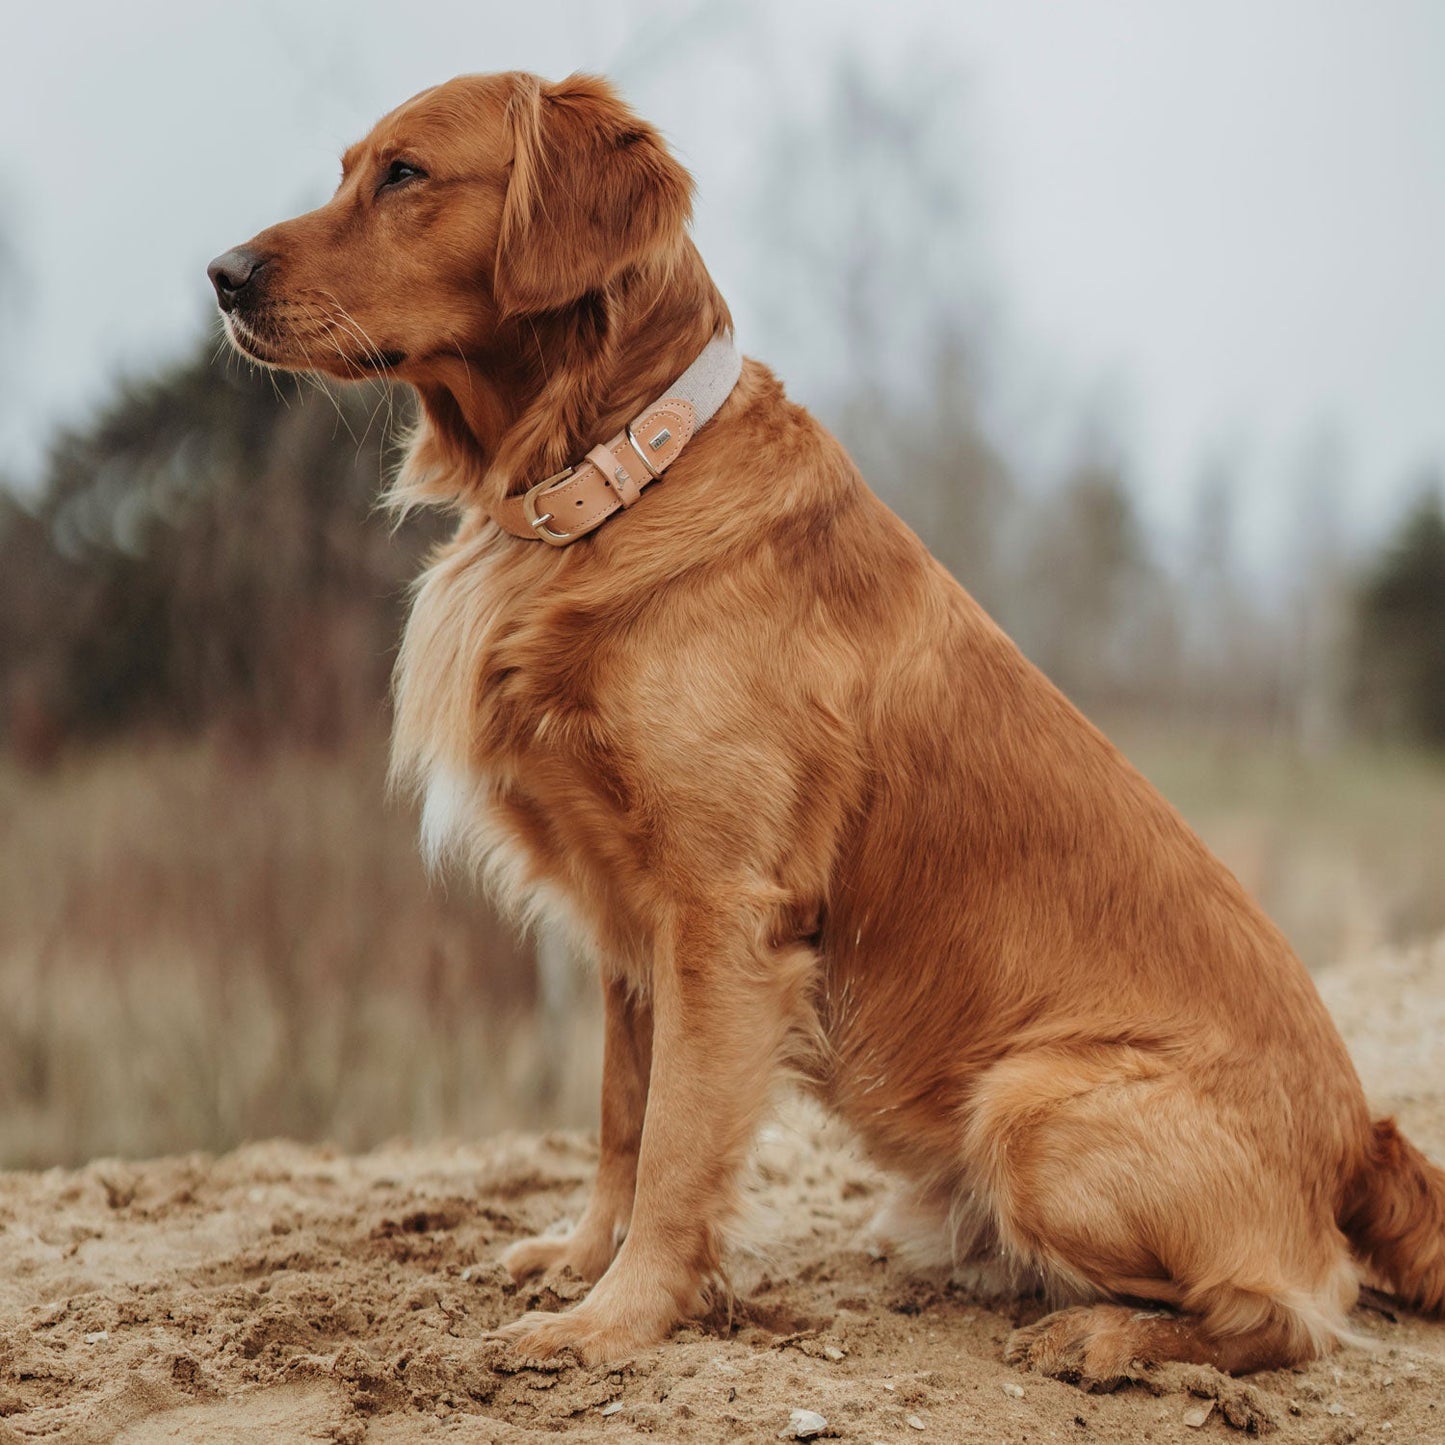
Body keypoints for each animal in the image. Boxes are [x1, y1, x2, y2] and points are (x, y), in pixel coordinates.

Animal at [206, 70, 1445, 1387]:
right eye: (350, 168)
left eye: (404, 175)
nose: (220, 275)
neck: (612, 479)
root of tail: (1359, 1134)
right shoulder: (631, 923)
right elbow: (619, 1114)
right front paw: (582, 1256)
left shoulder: (722, 915)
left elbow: (678, 1141)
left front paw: (616, 1317)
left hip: (1029, 1106)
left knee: (1285, 1314)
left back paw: (1100, 1331)